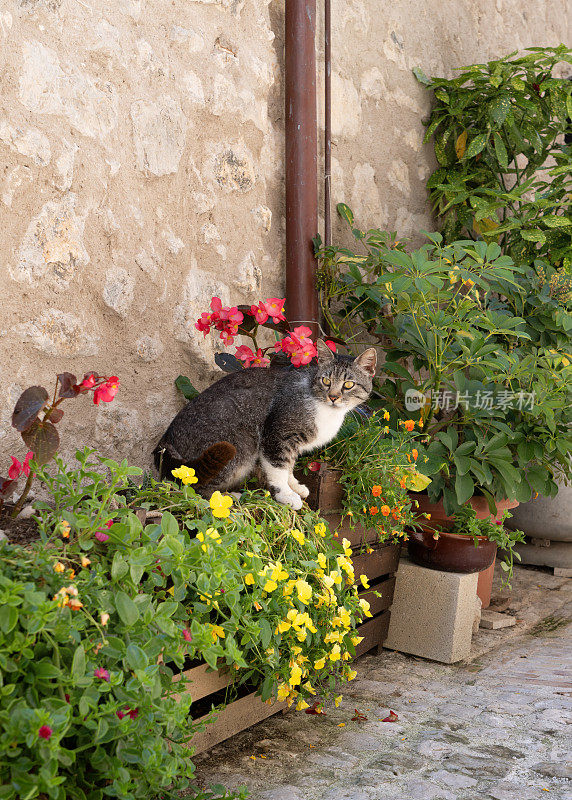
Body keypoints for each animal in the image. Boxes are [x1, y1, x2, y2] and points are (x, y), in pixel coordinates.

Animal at [153, 340, 376, 510]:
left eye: (349, 384)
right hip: (240, 444)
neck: (326, 410)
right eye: (326, 381)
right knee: (193, 488)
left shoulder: (290, 442)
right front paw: (287, 495)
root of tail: (165, 443)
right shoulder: (277, 435)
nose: (333, 397)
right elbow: (278, 468)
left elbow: (289, 467)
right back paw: (228, 498)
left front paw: (295, 486)